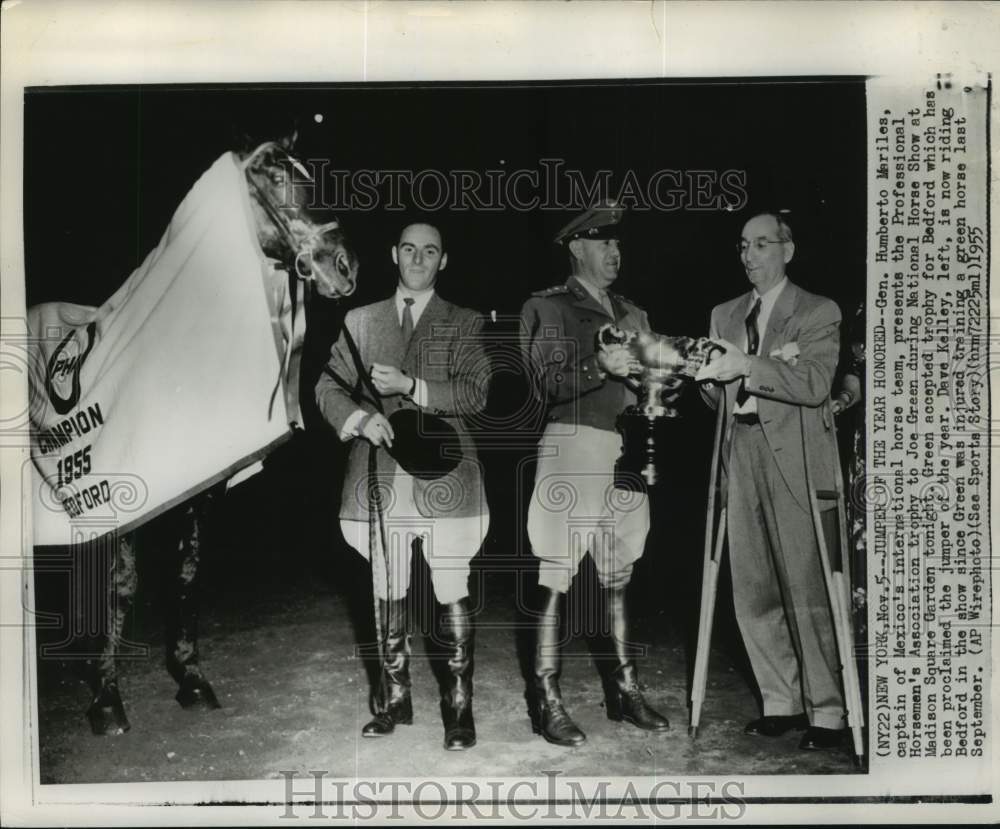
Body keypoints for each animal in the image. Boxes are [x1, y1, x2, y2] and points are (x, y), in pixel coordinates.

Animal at [44, 139, 360, 736]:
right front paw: (106, 699)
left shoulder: (199, 491)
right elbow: (122, 586)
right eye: (278, 182)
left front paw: (191, 678)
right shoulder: (124, 496)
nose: (345, 267)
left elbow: (187, 575)